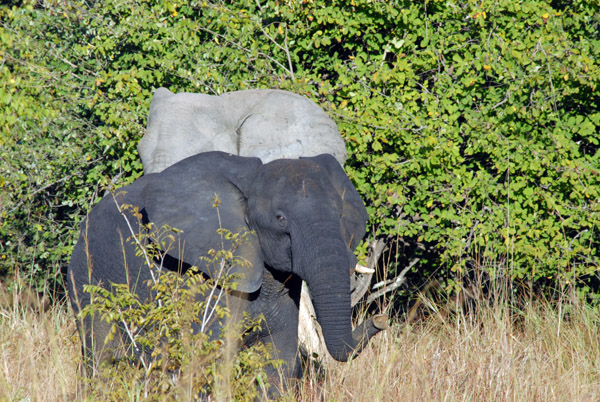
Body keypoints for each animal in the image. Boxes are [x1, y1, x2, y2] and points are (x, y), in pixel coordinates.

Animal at [68, 151, 386, 390]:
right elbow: (215, 356)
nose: (380, 321)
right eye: (280, 219)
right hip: (86, 278)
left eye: (340, 215)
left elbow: (278, 358)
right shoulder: (207, 277)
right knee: (101, 355)